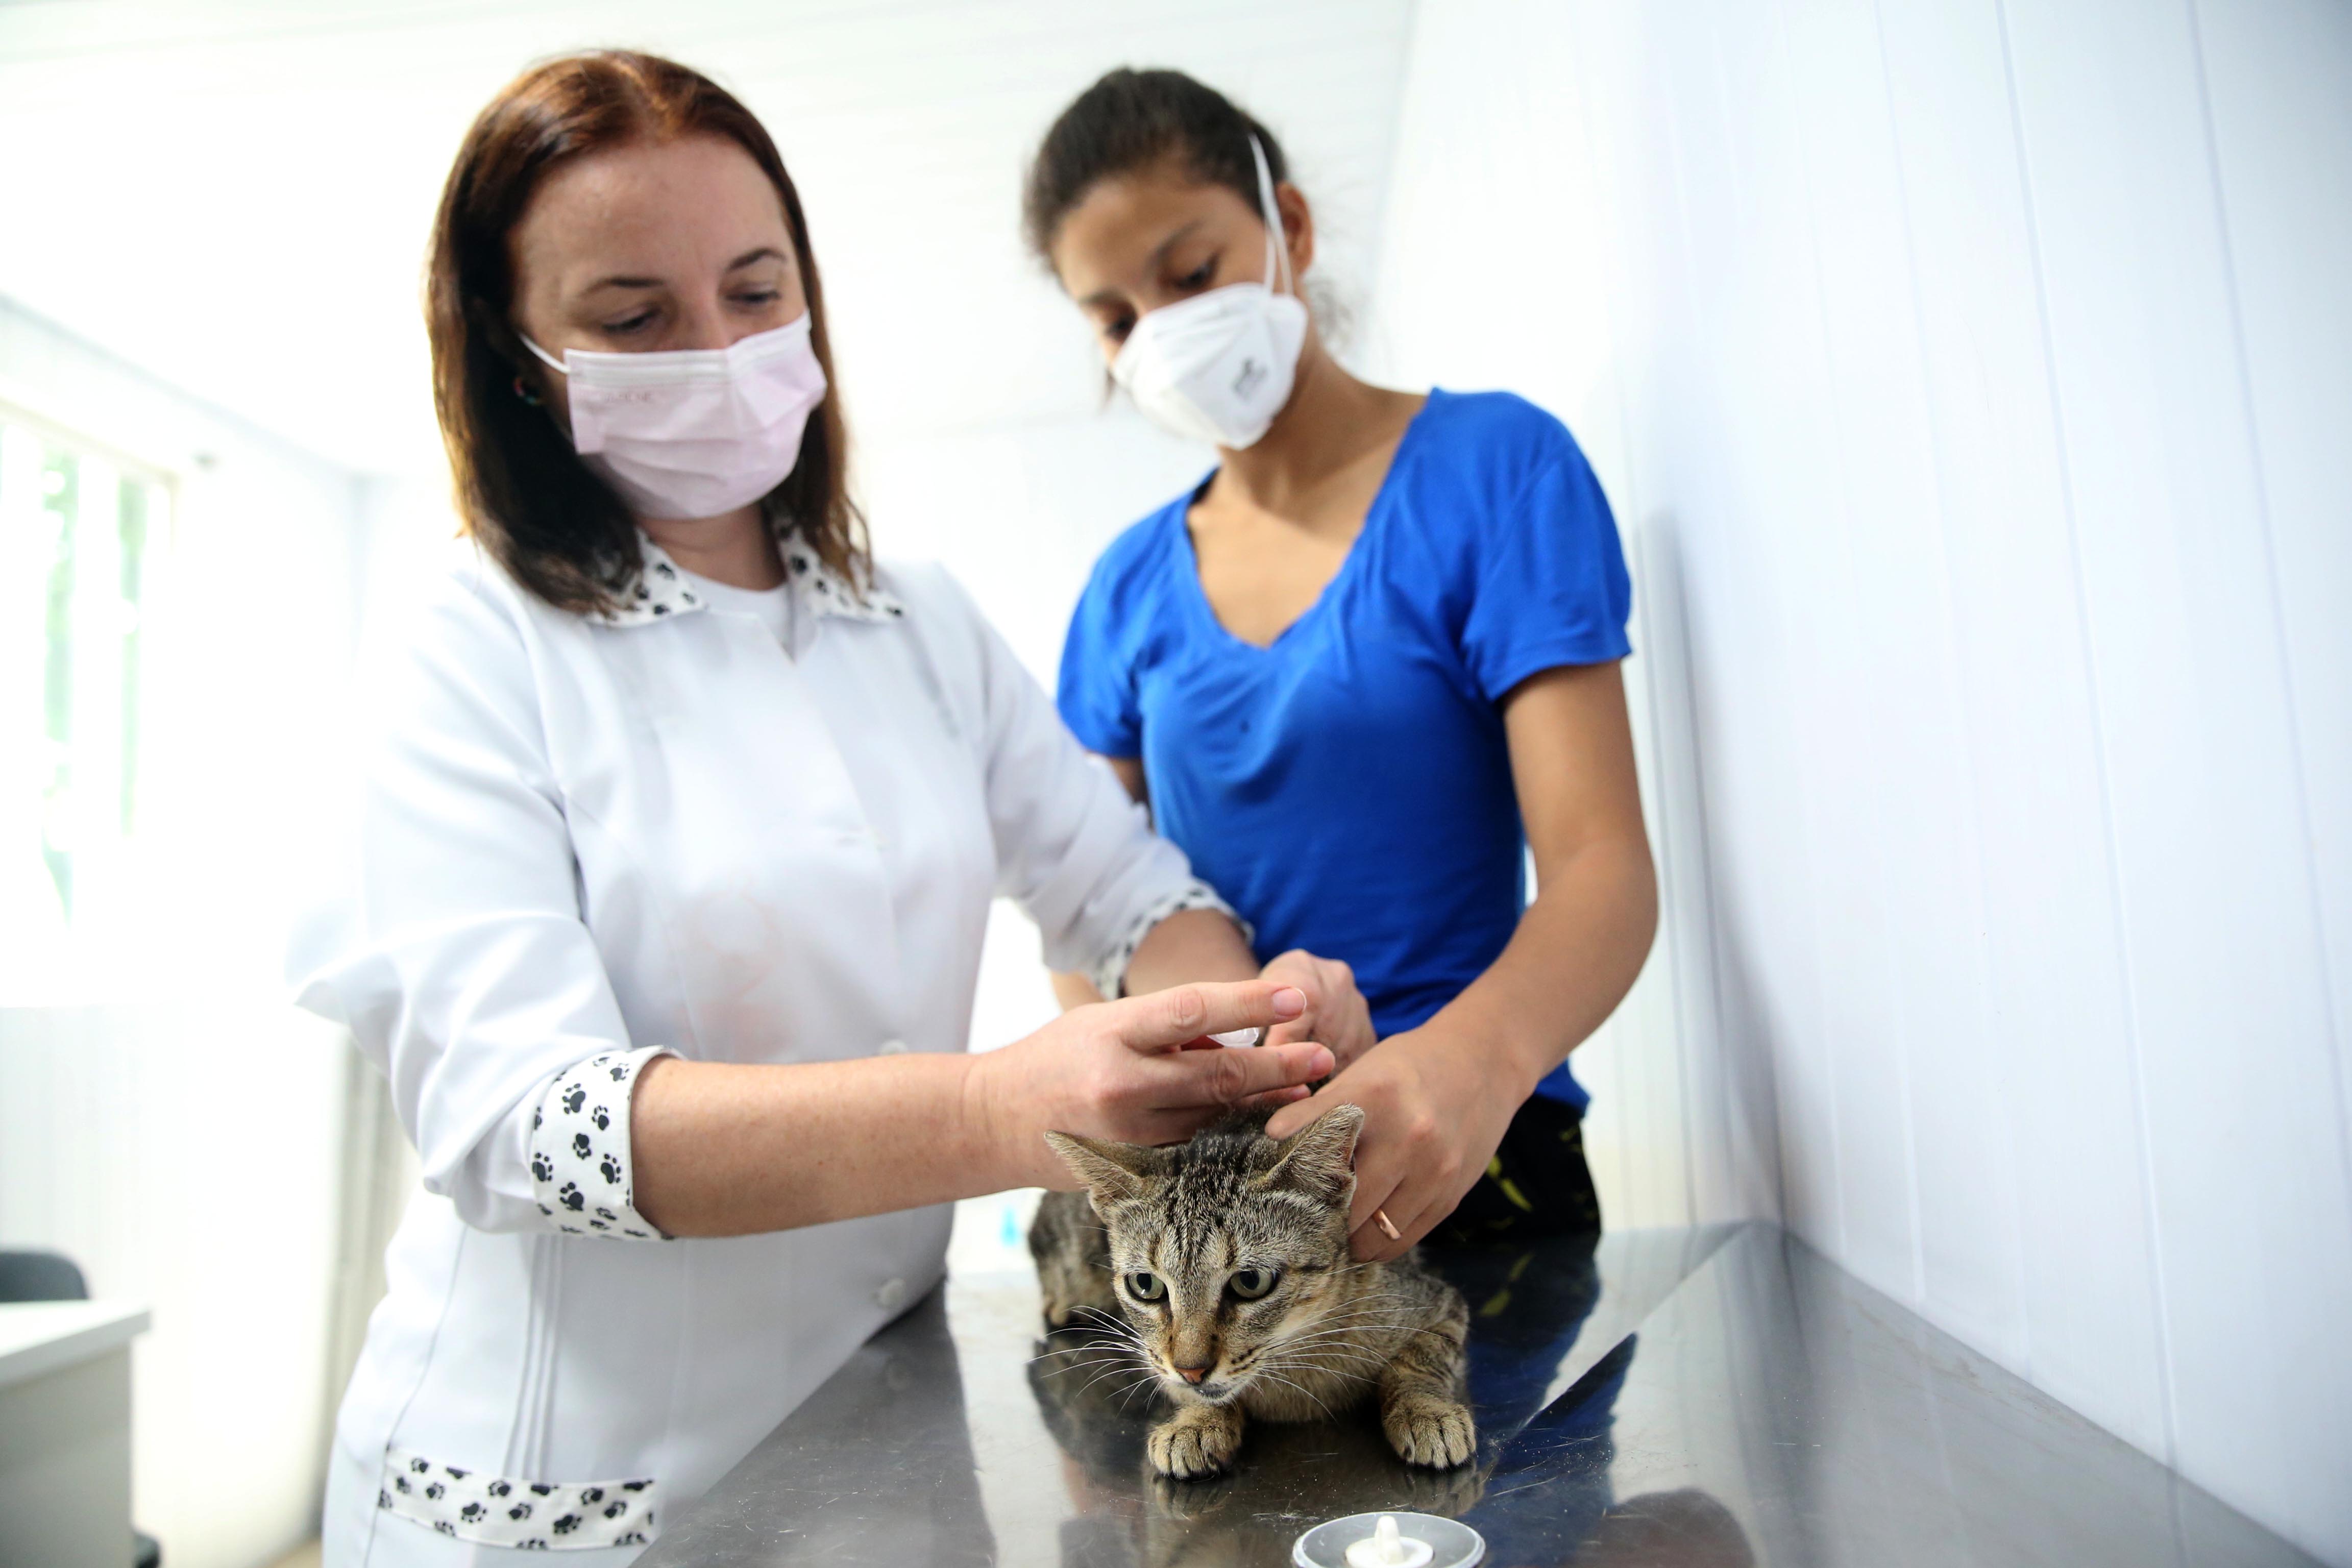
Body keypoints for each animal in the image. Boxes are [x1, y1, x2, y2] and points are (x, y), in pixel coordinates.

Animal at [1030, 1105, 1467, 1485]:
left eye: (1251, 1282)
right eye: (1146, 1285)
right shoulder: (1153, 1354)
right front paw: (1196, 1422)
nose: (1192, 1370)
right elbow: (1177, 1383)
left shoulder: (1440, 1303)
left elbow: (1419, 1362)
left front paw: (1427, 1411)